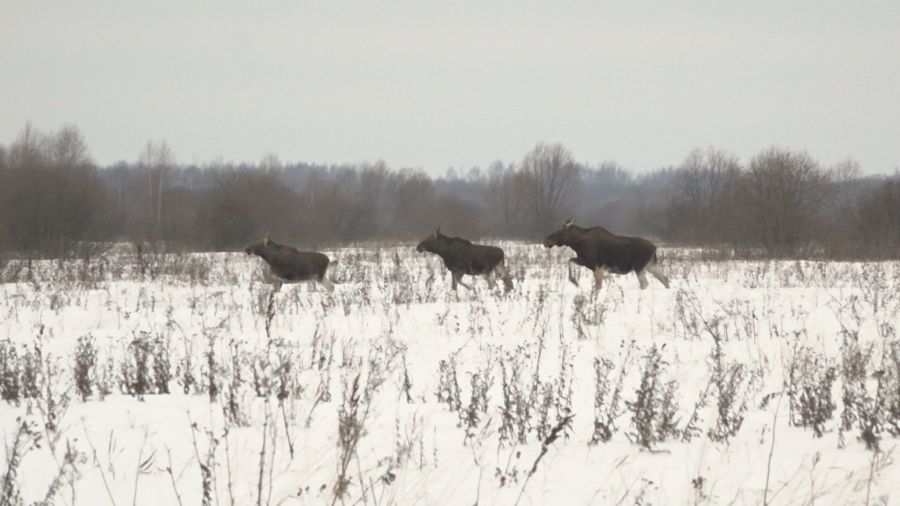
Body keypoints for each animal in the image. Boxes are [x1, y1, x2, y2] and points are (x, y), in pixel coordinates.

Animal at [540, 215, 668, 290]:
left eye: (559, 230)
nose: (545, 241)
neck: (576, 244)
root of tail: (654, 247)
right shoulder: (586, 262)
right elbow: (570, 260)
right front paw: (574, 281)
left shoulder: (596, 264)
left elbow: (598, 286)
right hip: (651, 265)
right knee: (665, 279)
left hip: (639, 267)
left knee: (645, 284)